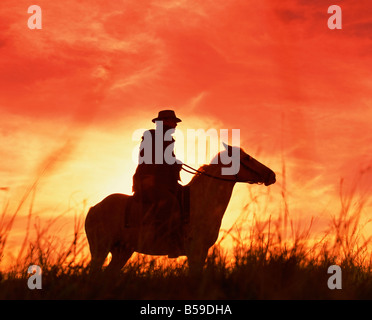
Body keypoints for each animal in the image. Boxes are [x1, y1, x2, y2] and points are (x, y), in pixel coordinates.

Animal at [85, 144, 276, 274]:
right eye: (247, 158)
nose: (271, 175)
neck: (202, 201)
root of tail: (94, 208)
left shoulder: (203, 251)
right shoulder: (195, 250)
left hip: (121, 252)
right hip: (100, 249)